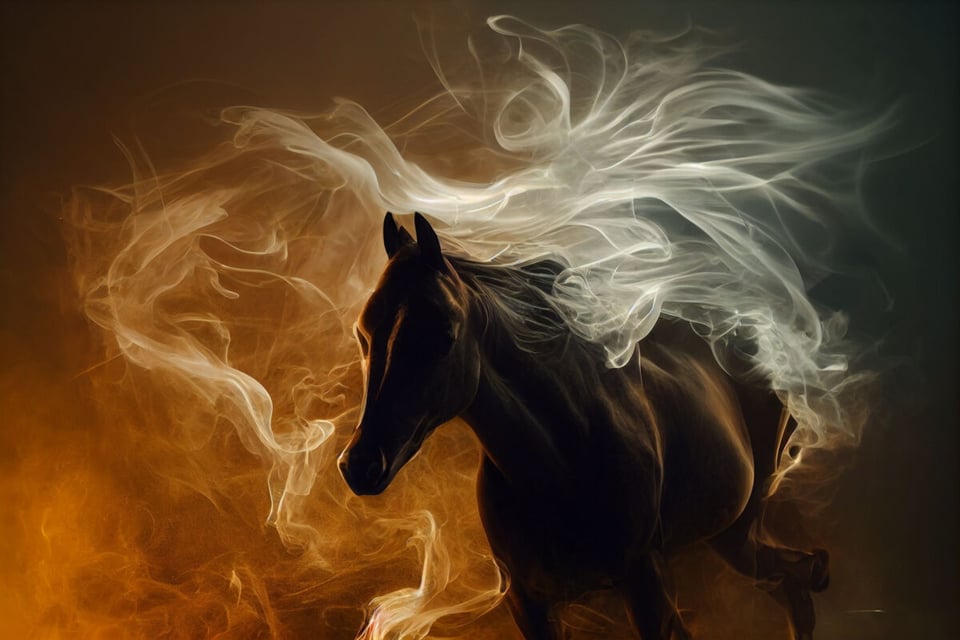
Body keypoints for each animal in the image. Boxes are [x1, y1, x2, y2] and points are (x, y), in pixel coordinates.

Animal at [338, 212, 830, 640]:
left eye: (444, 336)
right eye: (363, 334)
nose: (359, 464)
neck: (557, 465)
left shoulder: (645, 583)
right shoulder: (529, 604)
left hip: (737, 526)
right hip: (727, 536)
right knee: (790, 578)